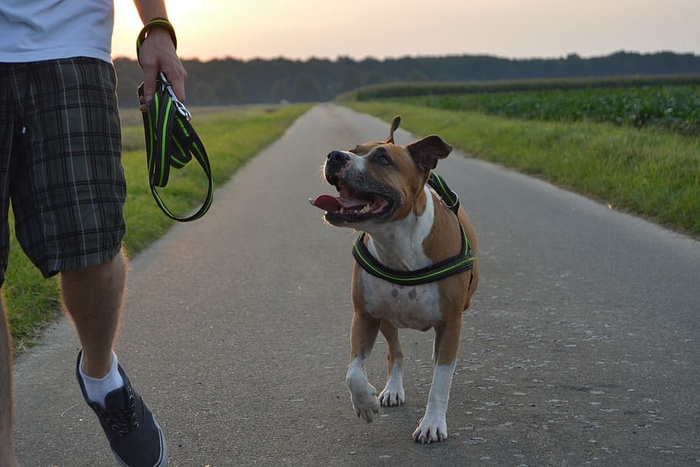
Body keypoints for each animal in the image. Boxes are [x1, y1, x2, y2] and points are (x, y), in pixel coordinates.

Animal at [314, 116, 482, 442]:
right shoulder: (365, 315)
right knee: (396, 351)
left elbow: (440, 381)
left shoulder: (451, 324)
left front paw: (432, 423)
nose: (335, 155)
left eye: (382, 159)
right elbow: (353, 372)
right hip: (386, 318)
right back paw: (392, 389)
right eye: (353, 149)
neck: (397, 244)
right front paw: (365, 402)